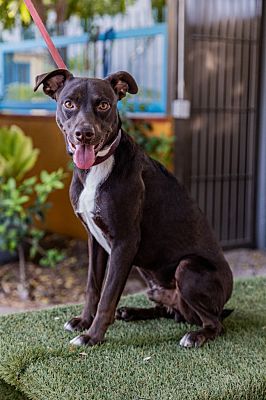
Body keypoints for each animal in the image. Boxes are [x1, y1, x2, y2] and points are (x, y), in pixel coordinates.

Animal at [34, 69, 233, 346]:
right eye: (69, 104)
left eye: (103, 105)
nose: (84, 133)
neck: (97, 167)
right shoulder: (95, 240)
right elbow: (93, 287)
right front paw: (83, 321)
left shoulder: (124, 242)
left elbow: (108, 295)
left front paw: (92, 336)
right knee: (170, 310)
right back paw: (132, 312)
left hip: (187, 269)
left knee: (214, 323)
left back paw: (196, 335)